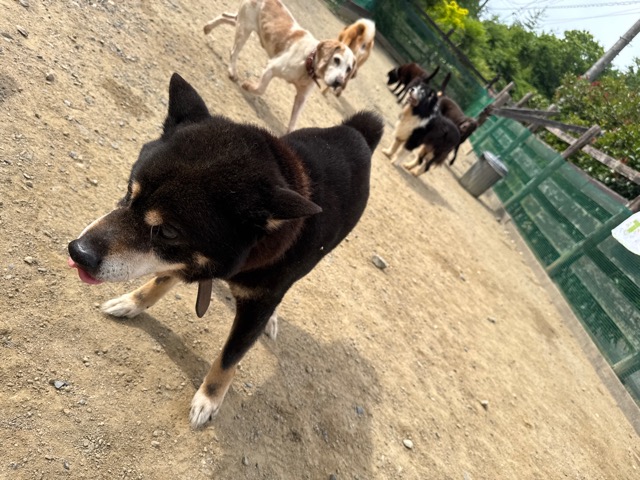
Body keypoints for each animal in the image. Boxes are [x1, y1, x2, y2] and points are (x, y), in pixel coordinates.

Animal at [67, 73, 383, 428]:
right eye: (128, 191)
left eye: (168, 231)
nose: (78, 252)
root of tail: (357, 131)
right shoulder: (186, 262)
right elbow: (160, 280)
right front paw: (132, 302)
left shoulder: (256, 304)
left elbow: (229, 356)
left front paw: (208, 399)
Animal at [203, 0, 356, 132]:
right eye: (336, 60)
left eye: (348, 69)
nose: (339, 82)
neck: (308, 60)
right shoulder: (272, 68)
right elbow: (260, 89)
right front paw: (248, 86)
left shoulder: (301, 97)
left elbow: (294, 121)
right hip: (244, 29)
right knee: (233, 52)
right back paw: (232, 71)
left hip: (239, 21)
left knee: (224, 16)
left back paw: (207, 28)